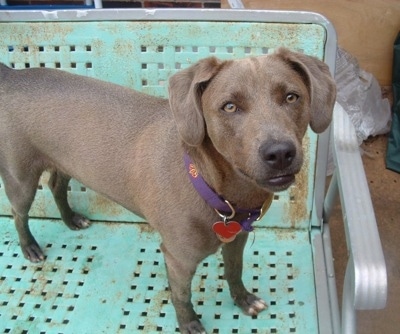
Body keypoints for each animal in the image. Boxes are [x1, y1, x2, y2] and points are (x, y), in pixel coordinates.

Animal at [0, 47, 334, 334]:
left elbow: (234, 270)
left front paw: (243, 299)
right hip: (21, 178)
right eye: (229, 106)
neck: (214, 189)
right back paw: (30, 247)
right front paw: (189, 324)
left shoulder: (237, 239)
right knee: (19, 212)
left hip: (66, 162)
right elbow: (181, 295)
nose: (280, 153)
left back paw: (71, 219)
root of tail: (12, 76)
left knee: (56, 185)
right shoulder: (178, 258)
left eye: (291, 96)